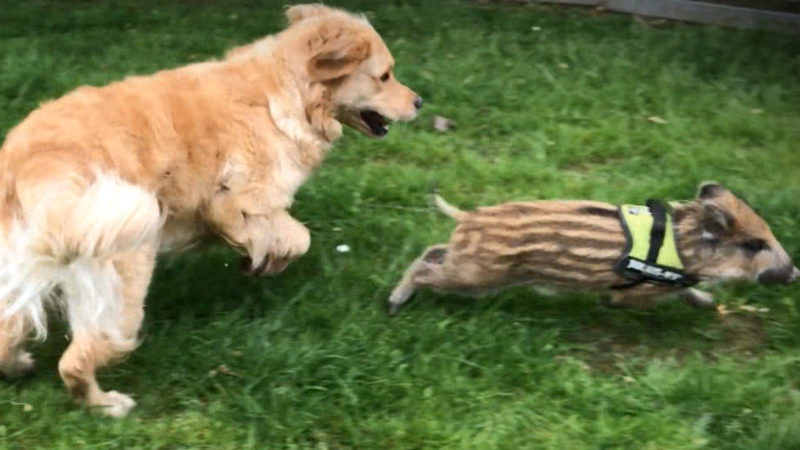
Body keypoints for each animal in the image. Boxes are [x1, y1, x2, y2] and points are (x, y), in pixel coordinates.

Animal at [0, 4, 422, 418]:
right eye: (385, 76)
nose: (419, 102)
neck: (289, 88)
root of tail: (33, 163)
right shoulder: (239, 200)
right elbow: (295, 235)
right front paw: (266, 258)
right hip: (123, 279)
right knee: (74, 363)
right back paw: (108, 405)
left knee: (8, 330)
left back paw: (19, 365)